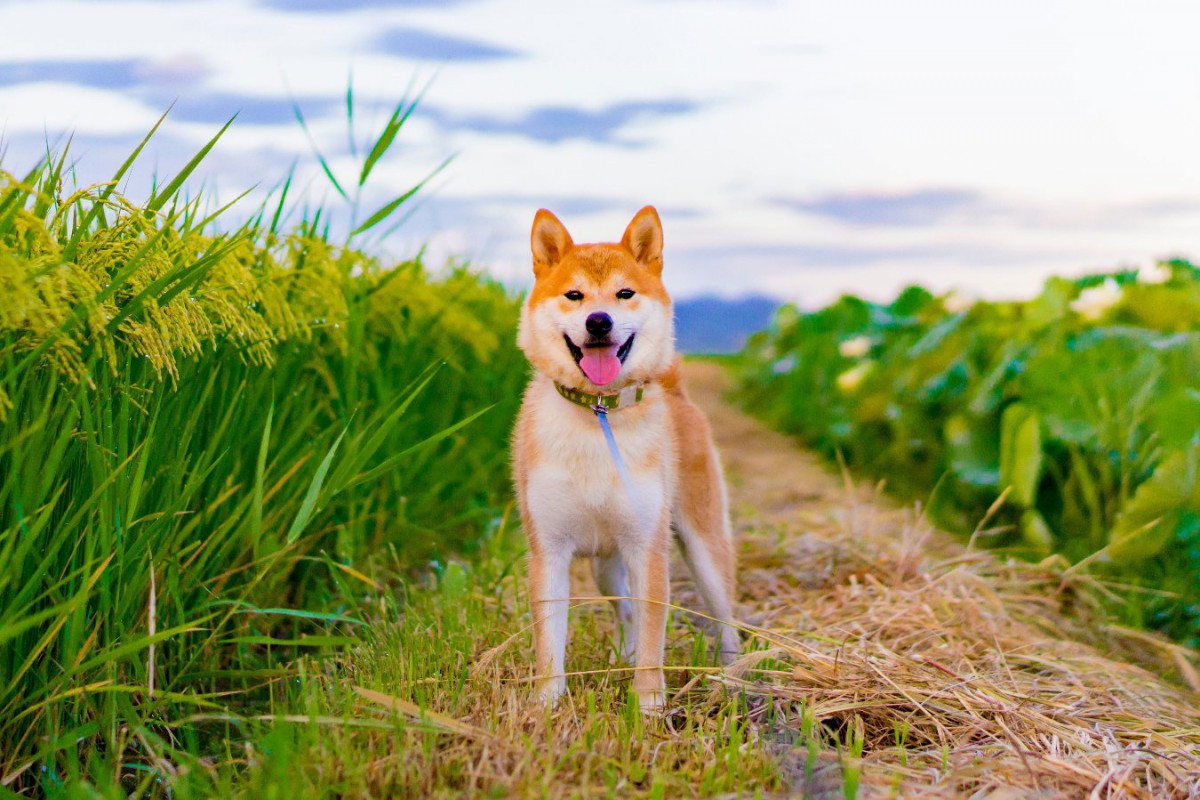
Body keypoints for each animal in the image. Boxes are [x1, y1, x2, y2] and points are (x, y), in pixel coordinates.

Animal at [508, 206, 734, 714]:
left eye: (624, 293)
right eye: (574, 294)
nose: (598, 321)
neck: (598, 412)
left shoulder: (647, 547)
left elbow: (654, 635)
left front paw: (648, 704)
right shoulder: (549, 551)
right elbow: (550, 642)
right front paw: (546, 704)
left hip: (703, 546)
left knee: (728, 621)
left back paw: (737, 678)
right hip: (604, 565)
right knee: (626, 608)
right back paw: (623, 656)